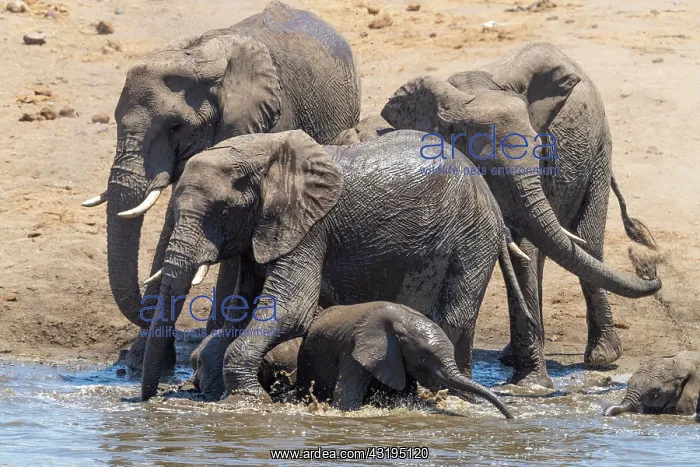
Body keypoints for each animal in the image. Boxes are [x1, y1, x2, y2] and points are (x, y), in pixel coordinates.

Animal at [81, 1, 361, 370]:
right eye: (114, 120)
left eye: (175, 127)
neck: (199, 61)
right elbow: (174, 219)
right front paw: (139, 364)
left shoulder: (269, 120)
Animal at [138, 128, 537, 401]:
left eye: (222, 211)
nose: (150, 399)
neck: (266, 153)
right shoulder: (262, 235)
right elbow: (244, 309)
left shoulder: (310, 228)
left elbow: (291, 309)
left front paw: (247, 399)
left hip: (471, 235)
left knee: (453, 316)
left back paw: (444, 396)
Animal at [296, 301, 514, 418]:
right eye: (424, 358)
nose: (510, 417)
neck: (402, 321)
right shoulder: (353, 350)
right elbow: (346, 403)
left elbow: (403, 397)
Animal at [380, 41, 660, 384]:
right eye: (486, 167)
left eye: (541, 151)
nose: (650, 268)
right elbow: (520, 251)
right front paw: (529, 381)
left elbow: (524, 249)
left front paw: (529, 386)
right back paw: (514, 356)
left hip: (599, 149)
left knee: (588, 244)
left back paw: (602, 358)